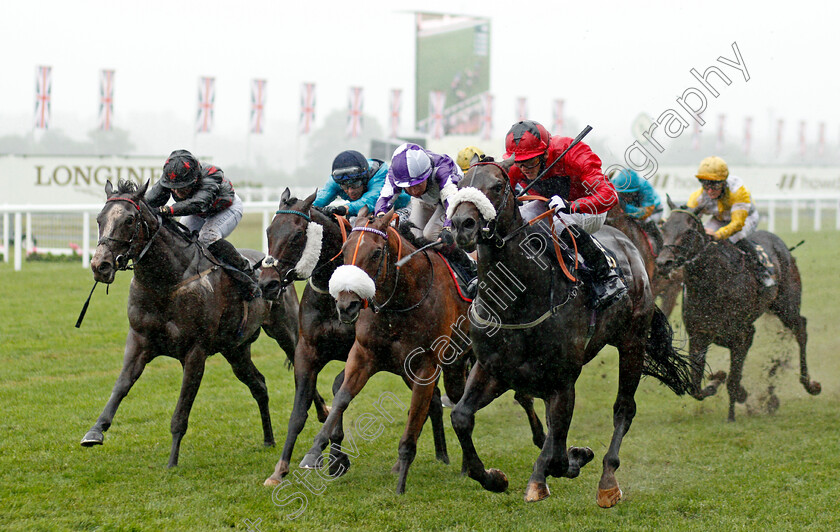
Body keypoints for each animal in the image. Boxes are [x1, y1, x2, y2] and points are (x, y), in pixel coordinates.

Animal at [82, 181, 298, 468]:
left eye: (129, 220)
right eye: (99, 219)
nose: (100, 265)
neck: (165, 281)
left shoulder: (195, 351)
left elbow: (181, 410)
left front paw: (172, 461)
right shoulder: (139, 340)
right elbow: (121, 385)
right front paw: (95, 431)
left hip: (286, 331)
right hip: (236, 350)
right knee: (259, 385)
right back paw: (269, 439)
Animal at [446, 161, 696, 508]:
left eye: (497, 186)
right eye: (459, 185)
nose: (462, 225)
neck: (517, 302)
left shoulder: (563, 381)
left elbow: (556, 454)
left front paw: (562, 466)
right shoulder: (493, 369)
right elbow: (461, 417)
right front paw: (494, 478)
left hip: (632, 343)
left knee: (624, 408)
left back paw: (608, 482)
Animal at [656, 197, 820, 422]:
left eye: (688, 231)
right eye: (663, 227)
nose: (663, 263)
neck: (714, 282)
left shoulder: (743, 334)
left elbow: (733, 378)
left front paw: (732, 414)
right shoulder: (699, 335)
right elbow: (695, 386)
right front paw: (717, 380)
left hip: (787, 305)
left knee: (800, 329)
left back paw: (808, 383)